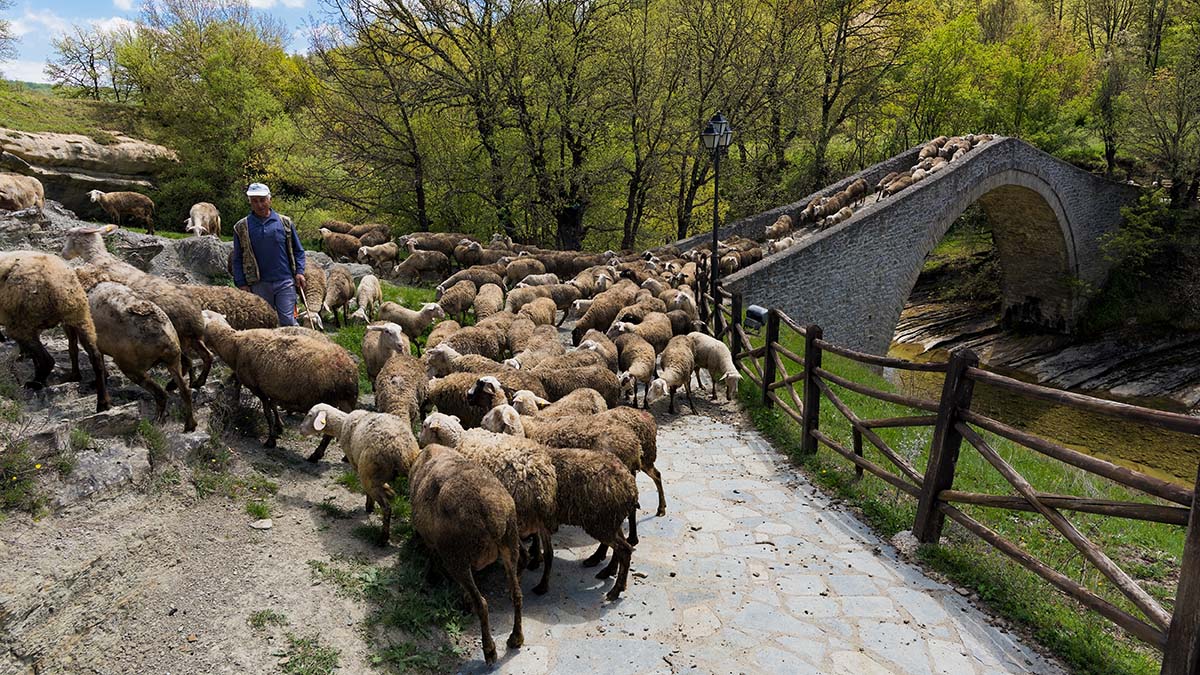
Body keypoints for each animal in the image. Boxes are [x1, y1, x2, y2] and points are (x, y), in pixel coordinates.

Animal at [0, 249, 110, 408]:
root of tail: (59, 287)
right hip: (80, 315)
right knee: (95, 356)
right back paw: (102, 402)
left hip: (22, 320)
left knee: (46, 359)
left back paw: (35, 383)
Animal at [200, 309, 355, 451]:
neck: (235, 345)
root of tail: (348, 374)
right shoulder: (271, 386)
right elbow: (273, 406)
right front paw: (279, 426)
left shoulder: (257, 388)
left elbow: (267, 412)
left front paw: (271, 439)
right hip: (347, 402)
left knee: (330, 432)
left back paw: (316, 455)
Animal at [297, 403, 415, 540]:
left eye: (310, 415)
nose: (300, 429)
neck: (342, 425)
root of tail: (401, 452)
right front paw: (388, 490)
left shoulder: (357, 465)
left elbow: (370, 493)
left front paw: (370, 506)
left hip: (369, 472)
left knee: (386, 508)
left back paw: (383, 537)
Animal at [410, 441, 523, 662]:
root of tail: (491, 516)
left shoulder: (435, 545)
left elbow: (432, 557)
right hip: (510, 542)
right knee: (517, 593)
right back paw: (516, 638)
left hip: (456, 557)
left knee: (482, 604)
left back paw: (489, 650)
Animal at [417, 408, 556, 590]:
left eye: (425, 426)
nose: (418, 440)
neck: (458, 440)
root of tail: (538, 476)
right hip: (543, 516)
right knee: (549, 553)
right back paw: (542, 585)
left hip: (517, 517)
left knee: (523, 556)